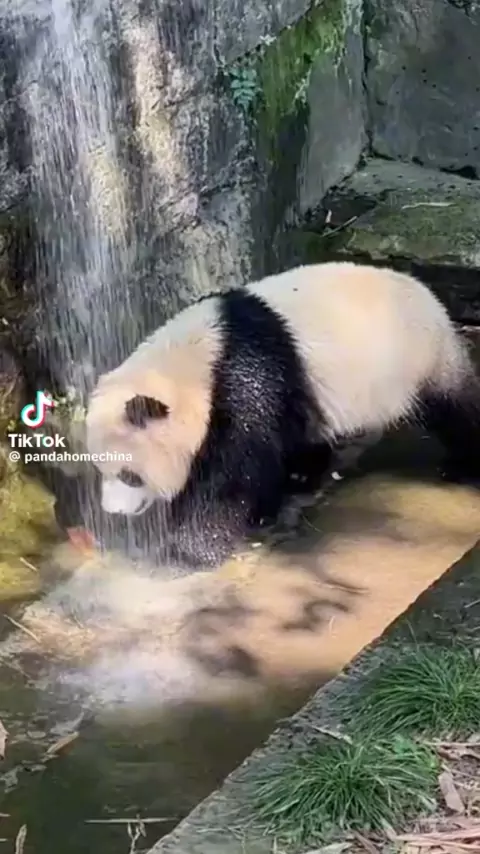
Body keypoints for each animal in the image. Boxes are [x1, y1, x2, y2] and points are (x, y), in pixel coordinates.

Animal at [85, 261, 480, 570]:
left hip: (419, 356)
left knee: (453, 406)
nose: (112, 512)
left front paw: (189, 550)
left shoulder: (243, 382)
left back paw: (461, 465)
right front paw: (266, 510)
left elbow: (231, 475)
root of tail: (425, 292)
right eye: (101, 470)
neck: (191, 365)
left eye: (129, 474)